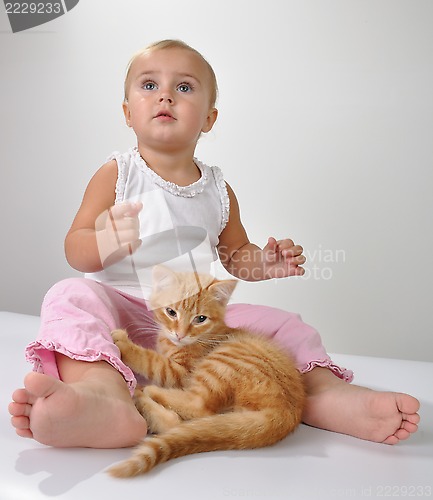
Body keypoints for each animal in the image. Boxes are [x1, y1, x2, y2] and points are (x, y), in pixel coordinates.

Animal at [108, 264, 304, 478]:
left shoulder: (181, 372)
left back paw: (147, 393)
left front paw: (124, 344)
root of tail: (289, 412)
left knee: (197, 409)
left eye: (200, 319)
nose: (180, 334)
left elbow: (153, 362)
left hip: (223, 361)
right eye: (171, 312)